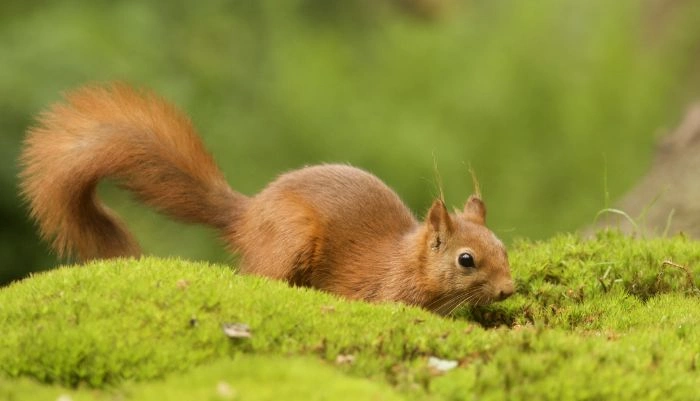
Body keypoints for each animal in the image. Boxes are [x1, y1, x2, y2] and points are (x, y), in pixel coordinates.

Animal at [19, 83, 515, 314]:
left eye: (503, 247)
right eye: (466, 260)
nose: (510, 289)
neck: (406, 262)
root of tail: (249, 213)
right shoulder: (381, 292)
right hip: (290, 238)